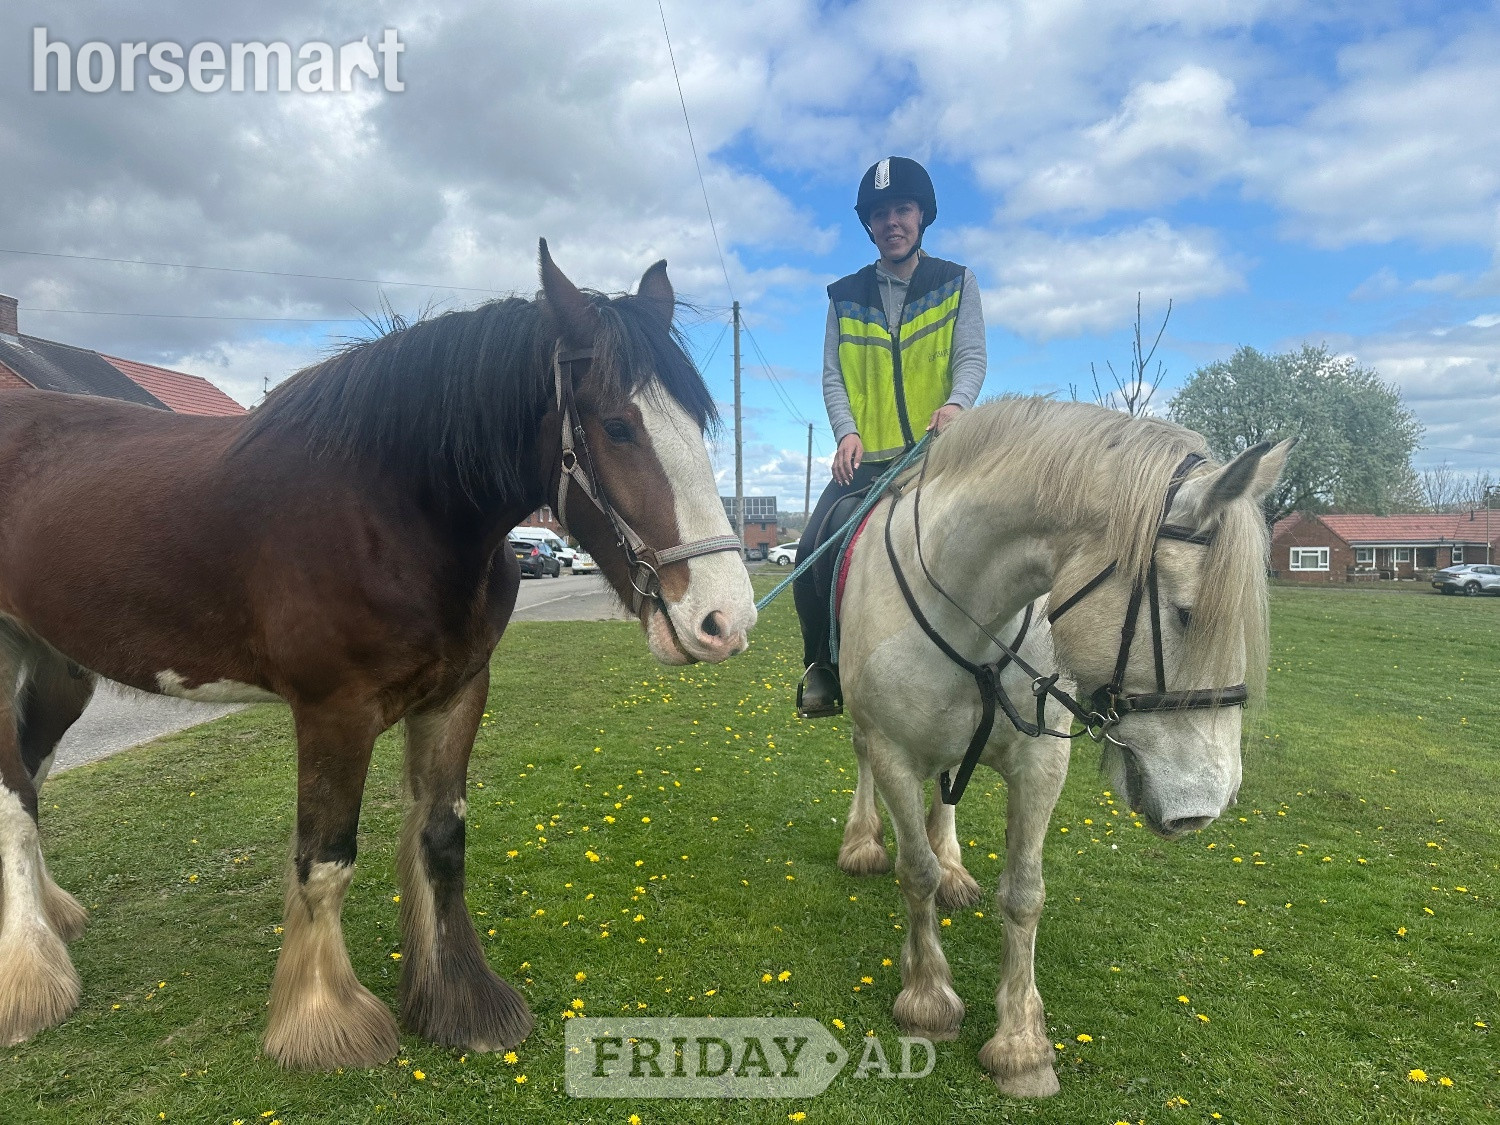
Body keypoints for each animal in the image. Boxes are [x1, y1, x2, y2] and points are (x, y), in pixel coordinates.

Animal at [0, 243, 757, 1069]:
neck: (387, 506)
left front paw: (460, 1002)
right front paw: (322, 1021)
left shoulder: (458, 693)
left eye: (698, 422)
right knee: (13, 801)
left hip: (59, 669)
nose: (726, 618)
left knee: (31, 782)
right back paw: (30, 981)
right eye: (618, 426)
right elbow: (325, 861)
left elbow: (443, 839)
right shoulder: (335, 712)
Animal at [833, 396, 1290, 1096]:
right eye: (1186, 614)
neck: (968, 610)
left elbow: (1024, 894)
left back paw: (956, 868)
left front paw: (1021, 1045)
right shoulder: (893, 752)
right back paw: (862, 842)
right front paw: (929, 1000)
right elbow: (916, 872)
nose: (1204, 807)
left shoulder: (1040, 763)